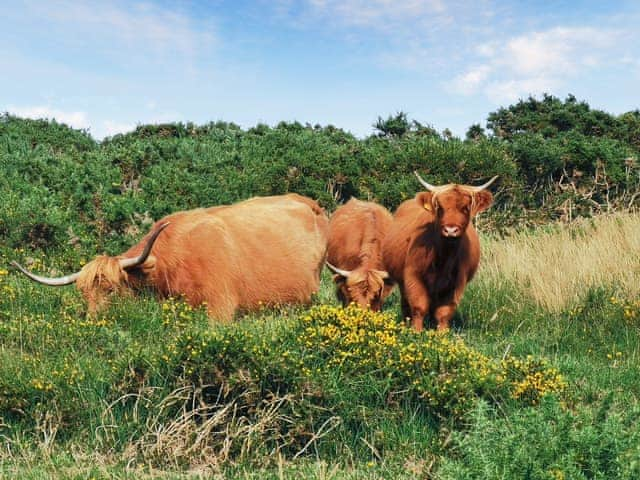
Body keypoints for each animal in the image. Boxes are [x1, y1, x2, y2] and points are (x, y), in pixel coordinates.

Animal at [382, 171, 498, 332]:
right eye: (440, 208)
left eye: (465, 208)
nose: (450, 230)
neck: (443, 257)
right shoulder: (413, 275)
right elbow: (419, 306)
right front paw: (416, 332)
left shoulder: (457, 283)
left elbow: (444, 311)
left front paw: (441, 334)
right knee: (406, 303)